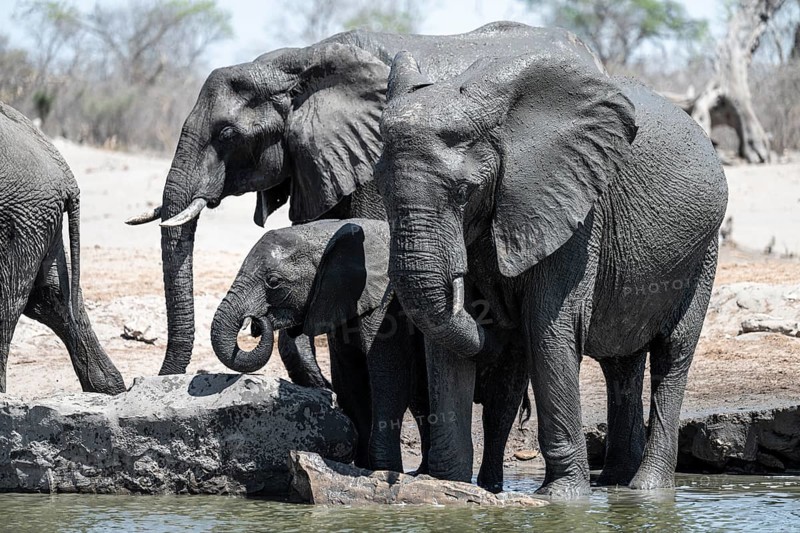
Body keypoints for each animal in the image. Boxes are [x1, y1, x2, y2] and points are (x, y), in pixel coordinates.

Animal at [210, 218, 529, 491]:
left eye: (273, 282)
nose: (256, 322)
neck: (328, 232)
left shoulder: (385, 305)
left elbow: (388, 376)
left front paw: (384, 468)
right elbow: (350, 379)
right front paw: (364, 470)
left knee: (500, 406)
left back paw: (490, 486)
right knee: (423, 401)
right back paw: (425, 474)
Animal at [374, 50, 728, 497]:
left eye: (463, 192)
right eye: (379, 190)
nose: (495, 324)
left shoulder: (578, 211)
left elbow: (548, 327)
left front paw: (562, 497)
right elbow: (444, 343)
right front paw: (447, 485)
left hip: (704, 248)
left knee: (673, 351)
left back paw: (646, 490)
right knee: (620, 363)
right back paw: (615, 483)